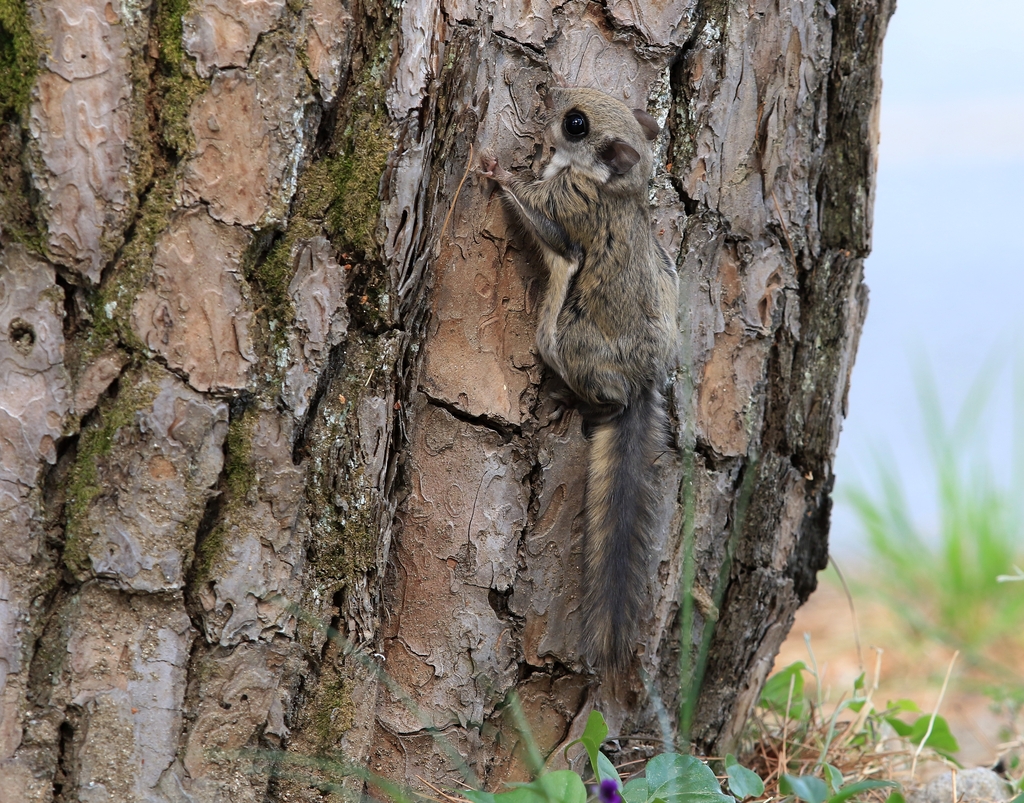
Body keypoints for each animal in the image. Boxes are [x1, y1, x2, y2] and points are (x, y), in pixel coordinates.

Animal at [479, 84, 679, 667]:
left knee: (610, 399)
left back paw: (576, 404)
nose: (551, 93)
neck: (611, 186)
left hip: (567, 342)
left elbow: (548, 226)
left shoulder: (569, 205)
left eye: (575, 123)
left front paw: (499, 173)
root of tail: (643, 380)